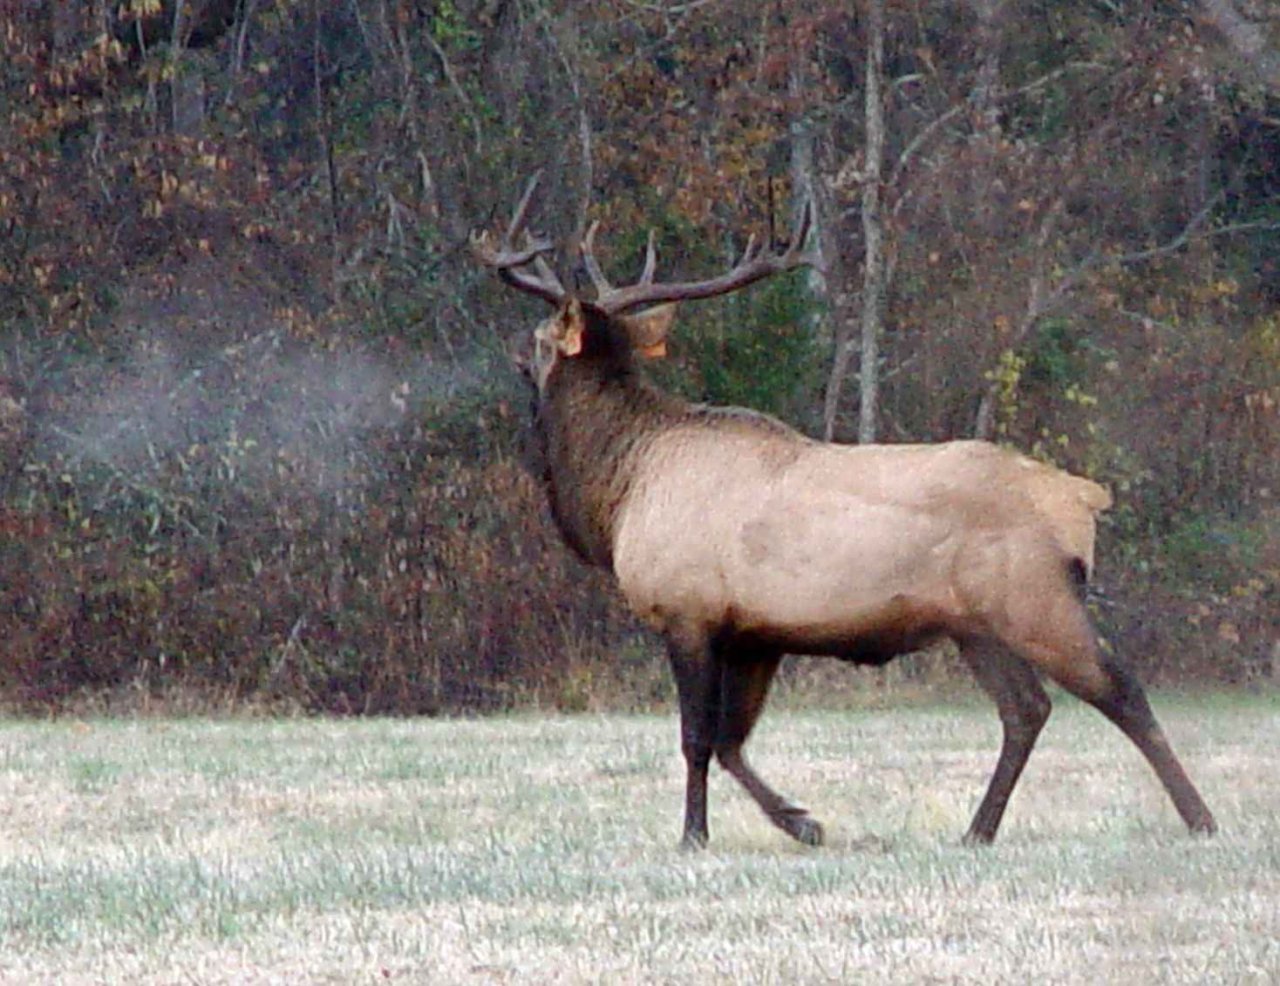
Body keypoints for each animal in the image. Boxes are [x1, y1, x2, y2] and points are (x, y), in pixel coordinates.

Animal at [471, 175, 1217, 850]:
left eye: (538, 340)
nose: (514, 357)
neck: (619, 492)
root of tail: (1084, 498)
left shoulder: (687, 610)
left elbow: (696, 739)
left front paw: (694, 835)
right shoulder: (756, 632)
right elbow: (732, 741)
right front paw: (803, 821)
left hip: (1034, 599)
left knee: (1119, 688)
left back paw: (1199, 818)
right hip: (973, 624)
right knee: (1026, 709)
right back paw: (978, 831)